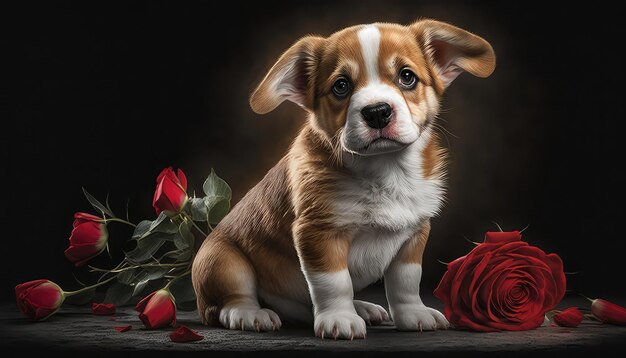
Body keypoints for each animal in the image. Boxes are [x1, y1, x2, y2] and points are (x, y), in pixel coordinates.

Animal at [190, 18, 492, 338]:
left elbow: (406, 282)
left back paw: (361, 308)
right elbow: (333, 284)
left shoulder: (413, 236)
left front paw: (413, 313)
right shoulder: (318, 234)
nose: (377, 112)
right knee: (230, 300)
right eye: (341, 86)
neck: (385, 170)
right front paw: (340, 318)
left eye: (407, 77)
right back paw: (250, 314)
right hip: (222, 261)